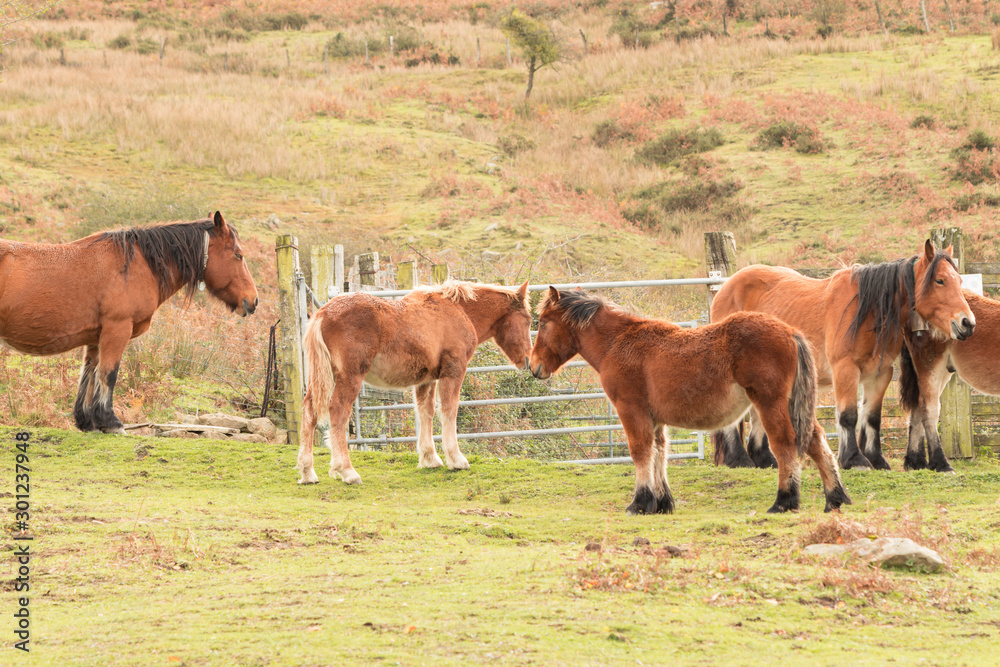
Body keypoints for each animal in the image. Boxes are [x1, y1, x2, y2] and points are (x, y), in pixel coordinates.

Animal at [0, 212, 259, 433]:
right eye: (238, 255)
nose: (253, 300)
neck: (137, 265)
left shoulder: (96, 338)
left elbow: (90, 375)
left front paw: (88, 422)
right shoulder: (117, 329)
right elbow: (109, 373)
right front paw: (110, 421)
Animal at [297, 280, 532, 485]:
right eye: (528, 320)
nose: (528, 360)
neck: (460, 311)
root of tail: (322, 313)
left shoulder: (426, 380)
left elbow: (425, 412)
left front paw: (430, 459)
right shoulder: (453, 372)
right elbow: (449, 411)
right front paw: (456, 460)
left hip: (323, 377)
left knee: (309, 411)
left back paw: (308, 473)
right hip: (350, 376)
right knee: (338, 410)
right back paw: (347, 471)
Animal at [529, 287, 850, 515]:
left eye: (543, 323)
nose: (533, 367)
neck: (619, 342)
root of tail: (790, 332)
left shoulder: (631, 410)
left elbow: (640, 453)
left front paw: (639, 503)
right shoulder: (654, 419)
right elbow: (659, 453)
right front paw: (661, 503)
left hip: (771, 404)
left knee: (785, 444)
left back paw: (784, 501)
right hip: (793, 406)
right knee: (816, 441)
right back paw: (835, 498)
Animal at [710, 241, 975, 473]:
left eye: (960, 280)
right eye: (940, 280)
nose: (968, 323)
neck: (867, 311)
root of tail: (724, 288)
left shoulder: (880, 374)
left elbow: (872, 418)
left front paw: (876, 460)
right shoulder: (845, 369)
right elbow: (848, 416)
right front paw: (854, 459)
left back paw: (764, 459)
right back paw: (739, 459)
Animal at [899, 289, 1000, 470]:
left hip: (942, 371)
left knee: (918, 406)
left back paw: (915, 462)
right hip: (931, 365)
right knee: (929, 408)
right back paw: (941, 463)